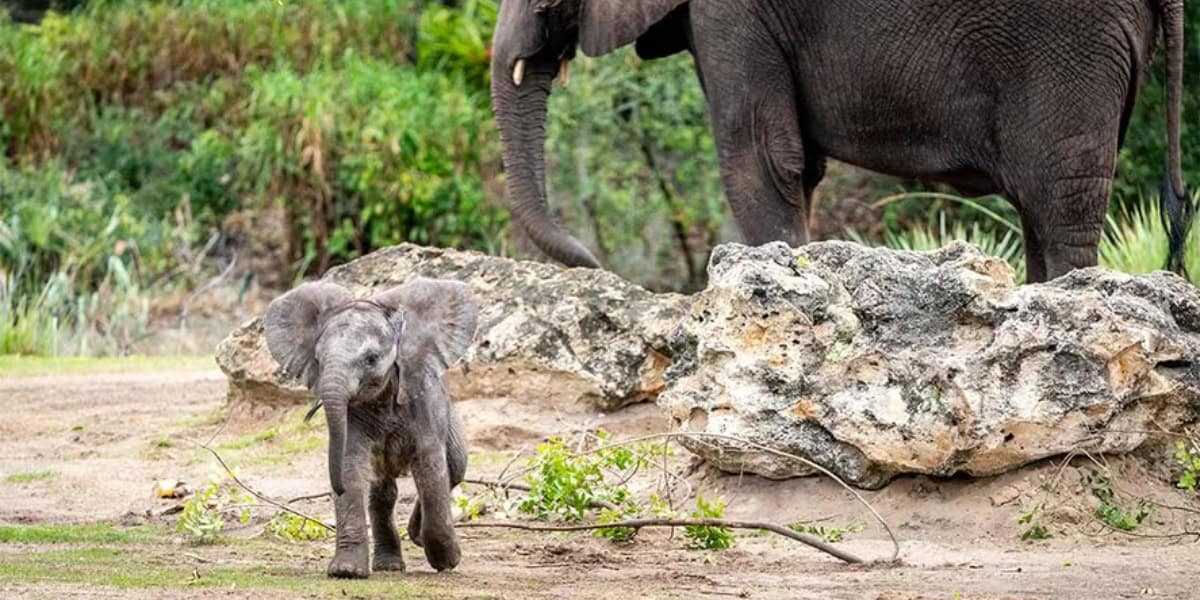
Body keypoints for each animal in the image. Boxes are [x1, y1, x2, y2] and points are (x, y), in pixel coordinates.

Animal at [263, 278, 478, 578]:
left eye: (371, 359)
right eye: (318, 360)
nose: (335, 487)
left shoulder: (424, 405)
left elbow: (431, 470)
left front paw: (447, 561)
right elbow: (350, 466)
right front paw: (346, 571)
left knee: (454, 470)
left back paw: (416, 536)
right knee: (383, 494)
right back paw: (390, 565)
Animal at [490, 0, 1191, 283]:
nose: (594, 265)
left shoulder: (734, 13)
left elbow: (760, 159)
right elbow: (796, 167)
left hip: (1067, 50)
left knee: (1059, 207)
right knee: (1041, 210)